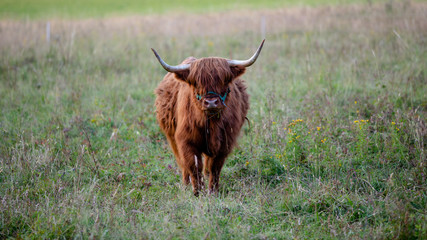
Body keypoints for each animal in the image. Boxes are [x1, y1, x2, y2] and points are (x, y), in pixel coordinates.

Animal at [150, 40, 264, 196]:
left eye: (224, 81)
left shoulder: (225, 143)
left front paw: (213, 192)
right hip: (171, 137)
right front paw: (197, 192)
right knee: (183, 165)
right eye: (196, 82)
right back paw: (185, 185)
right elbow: (193, 166)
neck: (211, 124)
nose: (211, 102)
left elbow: (214, 168)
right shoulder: (185, 141)